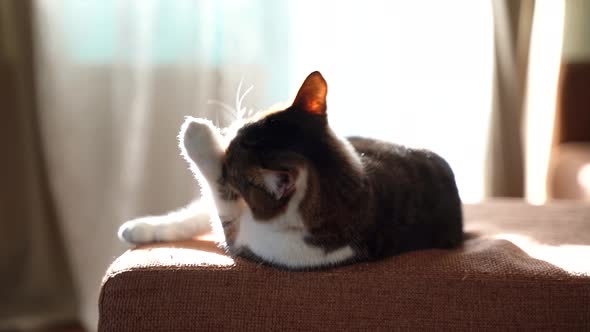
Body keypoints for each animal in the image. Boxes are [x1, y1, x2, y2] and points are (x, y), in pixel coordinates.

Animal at [118, 71, 464, 268]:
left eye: (233, 165)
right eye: (247, 123)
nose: (228, 134)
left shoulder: (246, 238)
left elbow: (217, 193)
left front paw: (196, 133)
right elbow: (201, 210)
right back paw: (138, 228)